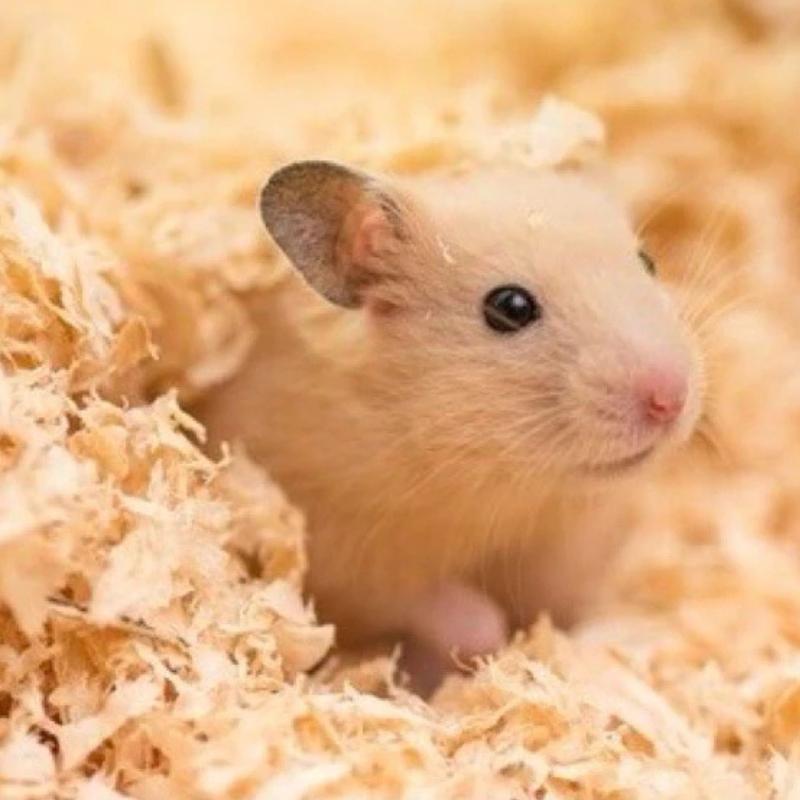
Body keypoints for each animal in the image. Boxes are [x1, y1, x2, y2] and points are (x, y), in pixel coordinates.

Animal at [197, 160, 703, 689]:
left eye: (647, 262)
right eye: (509, 307)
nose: (671, 398)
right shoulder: (337, 550)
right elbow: (440, 606)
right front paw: (481, 644)